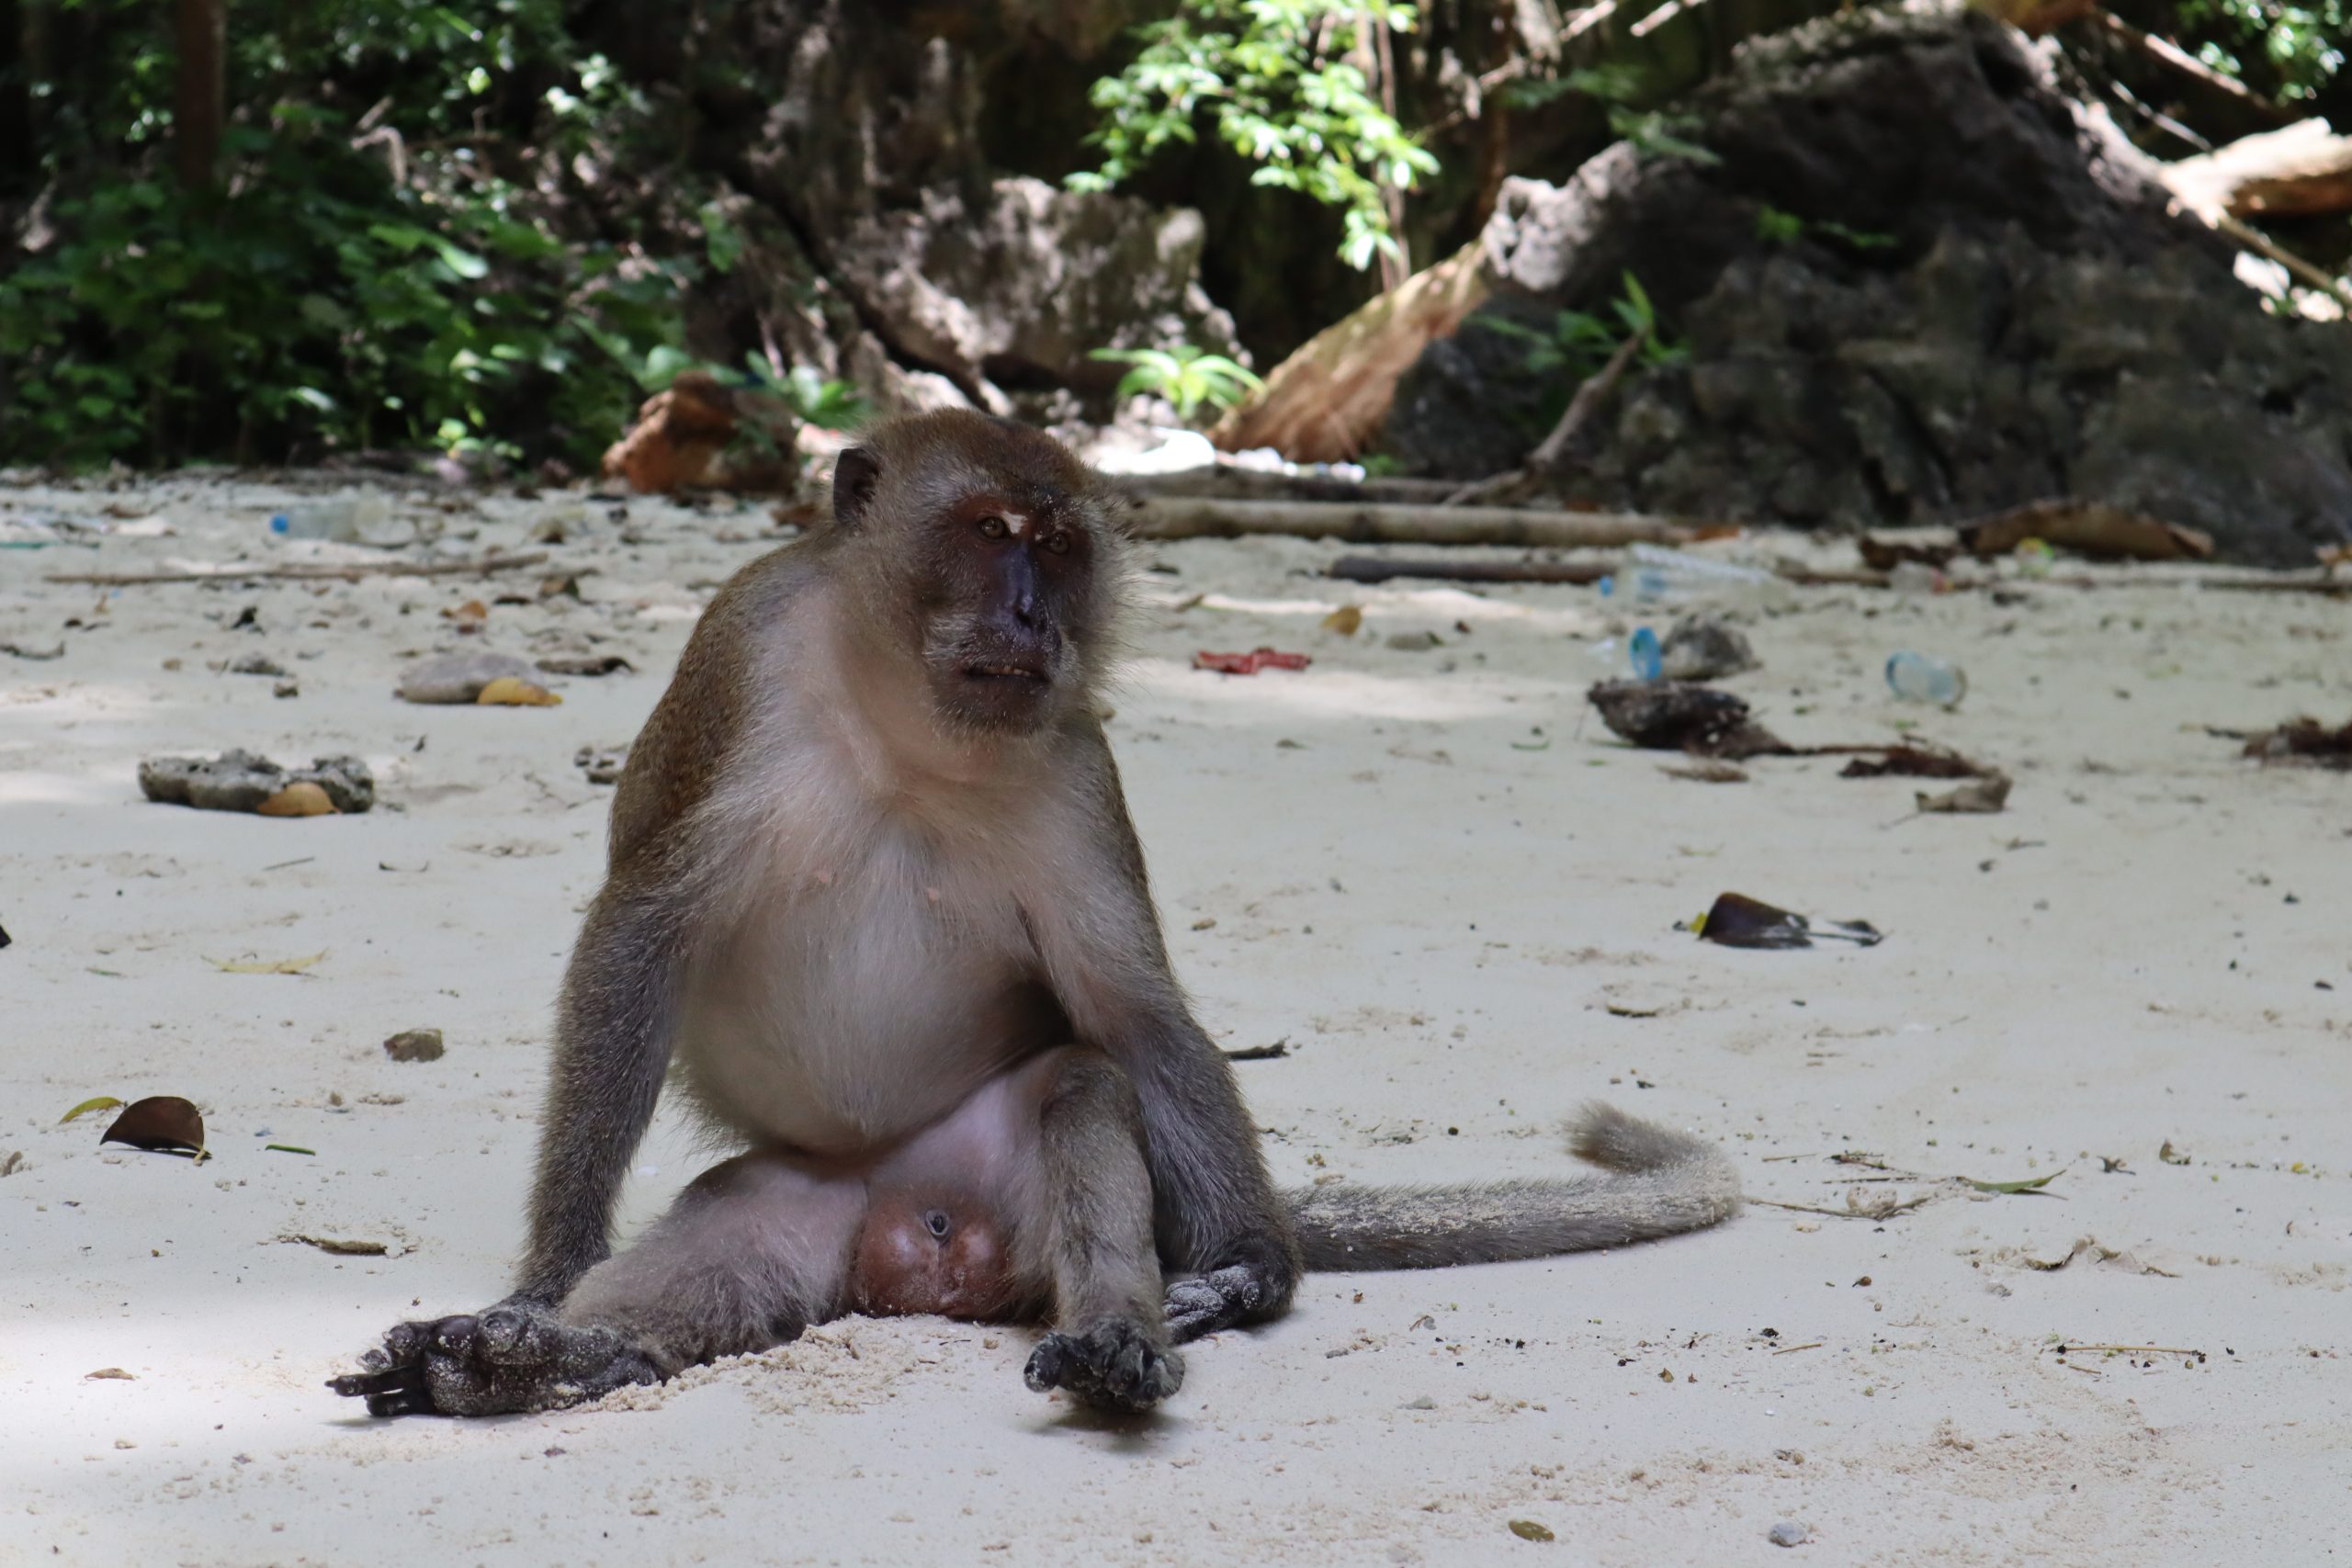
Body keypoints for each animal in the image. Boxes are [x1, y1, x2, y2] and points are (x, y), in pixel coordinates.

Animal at [322, 409, 1740, 1419]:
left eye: (1057, 549)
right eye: (989, 526)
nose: (1026, 613)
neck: (903, 718)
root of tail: (910, 1220)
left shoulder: (1072, 760)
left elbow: (1131, 1007)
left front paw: (1257, 1266)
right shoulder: (739, 663)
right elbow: (641, 930)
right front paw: (548, 1278)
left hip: (1008, 1189)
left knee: (1083, 1086)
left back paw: (1124, 1324)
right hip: (799, 1202)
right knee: (732, 1244)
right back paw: (539, 1356)